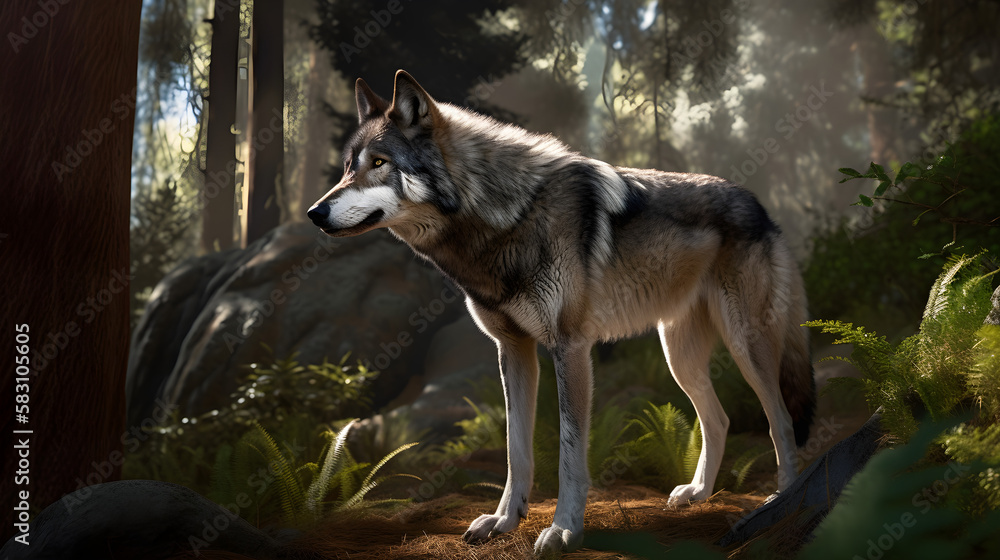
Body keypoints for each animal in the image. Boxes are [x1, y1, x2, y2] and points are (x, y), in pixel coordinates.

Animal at [307, 70, 815, 555]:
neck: (507, 216)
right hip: (680, 358)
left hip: (745, 346)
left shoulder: (570, 347)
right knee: (719, 419)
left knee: (781, 420)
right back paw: (698, 493)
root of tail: (760, 204)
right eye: (348, 167)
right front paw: (503, 521)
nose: (314, 212)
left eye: (379, 163)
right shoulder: (512, 350)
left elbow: (570, 450)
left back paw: (783, 501)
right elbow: (515, 448)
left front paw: (564, 531)